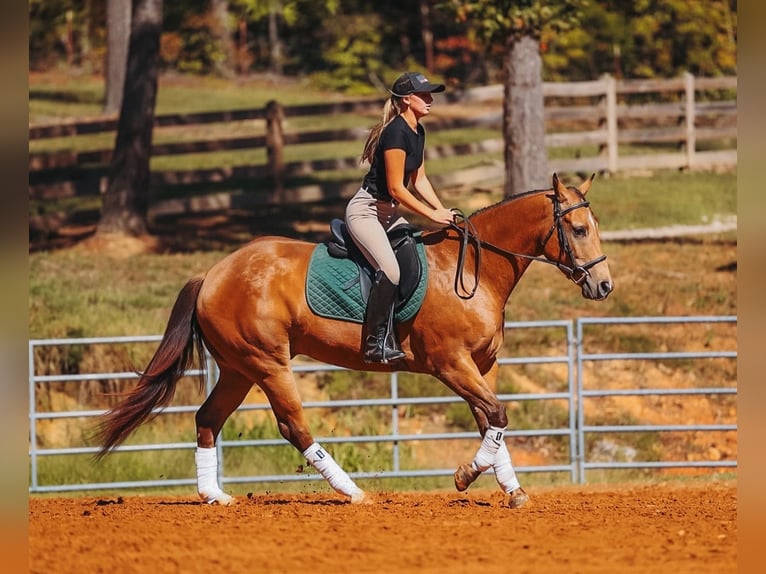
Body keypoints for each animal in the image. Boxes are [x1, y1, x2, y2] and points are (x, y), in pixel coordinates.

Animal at [95, 173, 613, 508]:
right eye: (578, 229)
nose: (604, 286)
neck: (473, 268)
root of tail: (214, 272)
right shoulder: (450, 364)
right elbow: (496, 415)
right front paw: (466, 477)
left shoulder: (482, 366)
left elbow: (491, 420)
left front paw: (513, 490)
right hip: (268, 364)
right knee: (292, 425)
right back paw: (351, 491)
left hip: (240, 369)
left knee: (207, 419)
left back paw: (214, 496)